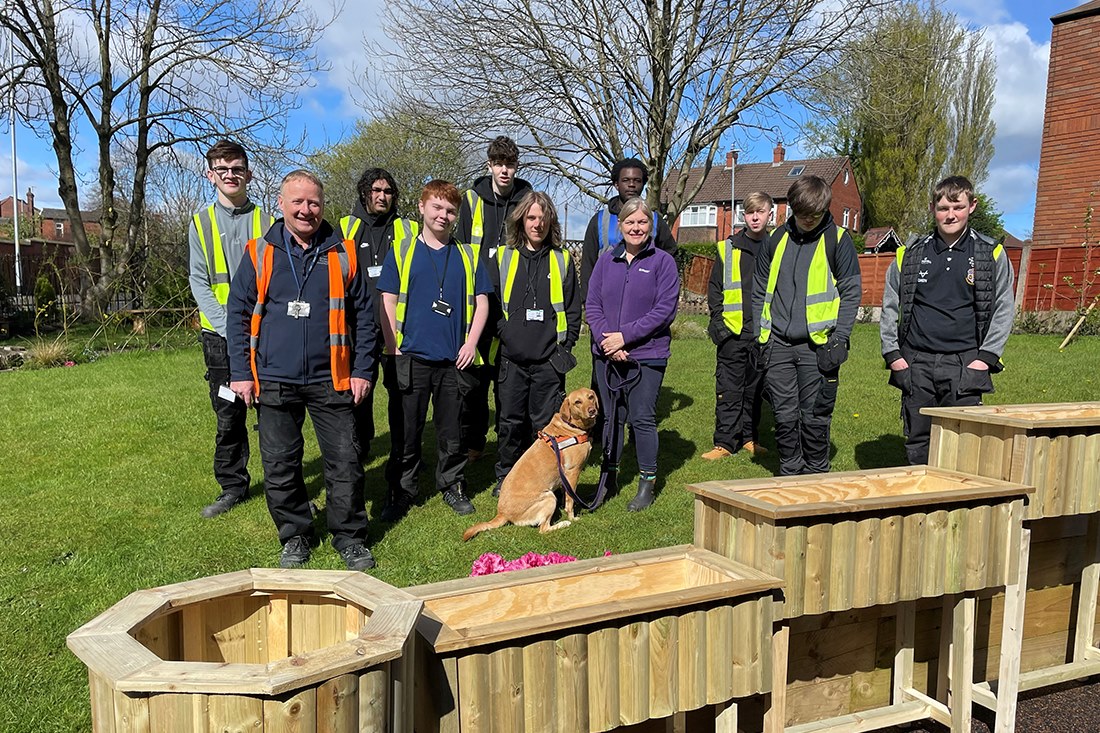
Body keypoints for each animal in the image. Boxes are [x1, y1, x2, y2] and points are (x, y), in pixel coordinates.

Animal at [464, 387, 602, 537]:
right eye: (577, 402)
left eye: (590, 397)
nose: (592, 410)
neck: (569, 425)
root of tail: (502, 513)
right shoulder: (573, 472)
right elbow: (570, 500)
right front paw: (572, 517)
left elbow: (566, 495)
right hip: (549, 497)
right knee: (543, 529)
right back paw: (563, 523)